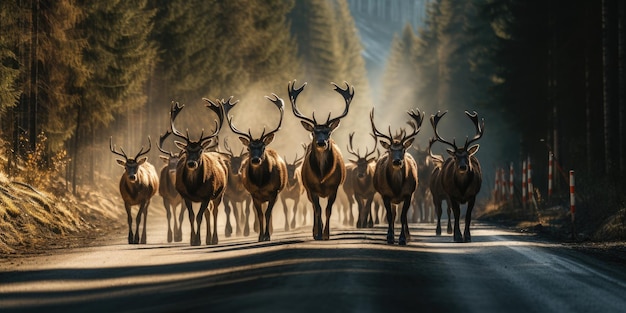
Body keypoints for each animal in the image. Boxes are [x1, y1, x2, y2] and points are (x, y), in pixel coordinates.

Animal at [169, 98, 228, 245]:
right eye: (186, 150)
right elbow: (191, 216)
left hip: (220, 193)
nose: (191, 163)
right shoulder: (185, 195)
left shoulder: (207, 195)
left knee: (214, 211)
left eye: (200, 151)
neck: (193, 187)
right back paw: (207, 239)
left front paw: (197, 240)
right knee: (208, 212)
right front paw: (193, 239)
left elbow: (199, 216)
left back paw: (214, 239)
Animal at [221, 93, 286, 241]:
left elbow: (267, 213)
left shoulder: (274, 192)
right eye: (249, 148)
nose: (256, 160)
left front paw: (267, 235)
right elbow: (260, 214)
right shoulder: (253, 194)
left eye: (263, 147)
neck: (261, 183)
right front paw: (260, 236)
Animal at [286, 80, 352, 239]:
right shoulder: (311, 187)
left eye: (328, 132)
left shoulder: (334, 187)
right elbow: (317, 210)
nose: (321, 143)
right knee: (314, 208)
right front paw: (319, 232)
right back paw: (316, 231)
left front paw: (327, 234)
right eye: (314, 132)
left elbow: (328, 210)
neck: (322, 176)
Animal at [370, 108, 424, 245]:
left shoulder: (408, 194)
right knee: (394, 214)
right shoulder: (385, 194)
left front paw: (403, 238)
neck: (396, 187)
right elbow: (390, 216)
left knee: (402, 215)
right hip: (392, 199)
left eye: (403, 150)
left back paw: (408, 235)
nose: (397, 161)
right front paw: (390, 236)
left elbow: (403, 216)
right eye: (390, 150)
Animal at [428, 109, 482, 241]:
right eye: (456, 157)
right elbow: (456, 214)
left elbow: (468, 216)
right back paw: (439, 230)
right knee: (441, 211)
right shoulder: (452, 194)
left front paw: (467, 236)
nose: (463, 167)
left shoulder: (473, 195)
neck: (462, 187)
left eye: (467, 156)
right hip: (438, 195)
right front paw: (457, 236)